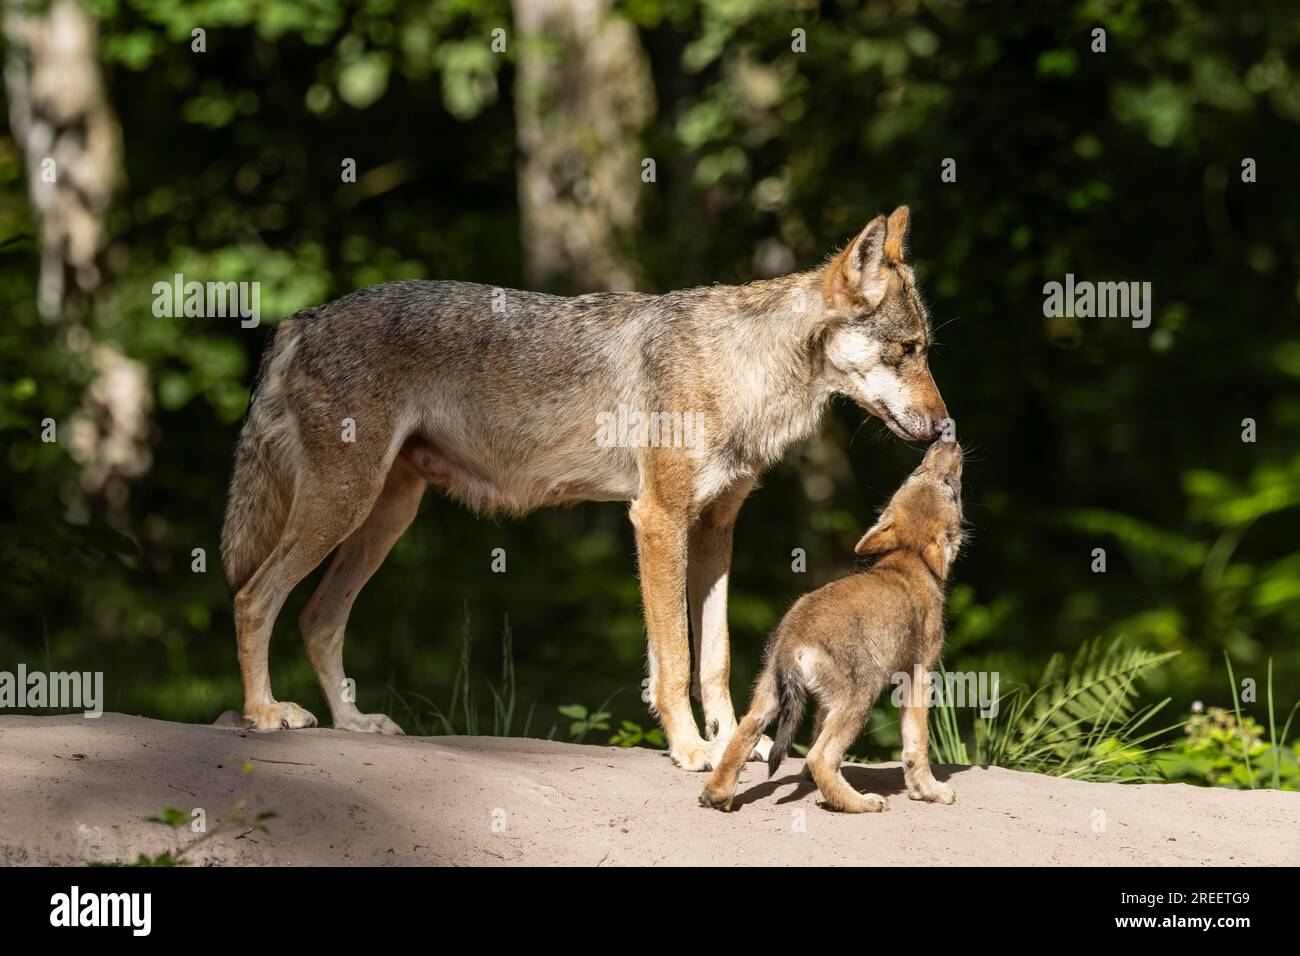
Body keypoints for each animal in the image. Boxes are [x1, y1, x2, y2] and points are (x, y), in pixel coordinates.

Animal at [219, 205, 949, 771]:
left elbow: (714, 658)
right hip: (342, 508)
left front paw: (730, 743)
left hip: (385, 517)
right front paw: (692, 750)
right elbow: (675, 661)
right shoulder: (657, 520)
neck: (742, 373)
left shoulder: (715, 531)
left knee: (317, 617)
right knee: (255, 596)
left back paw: (352, 723)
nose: (947, 425)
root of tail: (304, 318)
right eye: (908, 350)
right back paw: (263, 713)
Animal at [700, 439, 964, 811]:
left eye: (915, 472)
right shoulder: (918, 676)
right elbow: (916, 747)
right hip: (862, 695)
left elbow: (815, 730)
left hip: (770, 694)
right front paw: (930, 792)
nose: (946, 441)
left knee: (744, 735)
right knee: (819, 756)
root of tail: (793, 638)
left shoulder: (827, 702)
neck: (907, 560)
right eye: (951, 489)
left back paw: (717, 795)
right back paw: (861, 803)